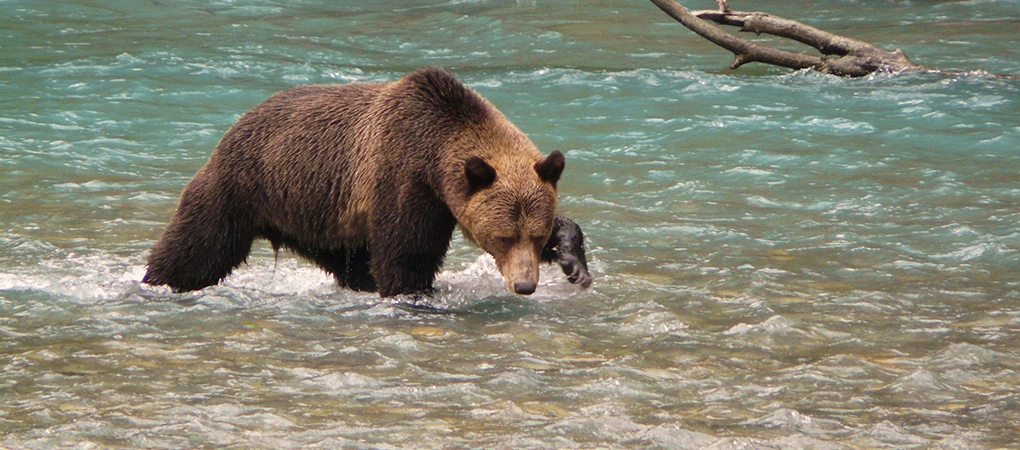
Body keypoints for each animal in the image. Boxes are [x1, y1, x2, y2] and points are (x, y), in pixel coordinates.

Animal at [143, 66, 591, 295]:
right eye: (502, 236)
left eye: (535, 234)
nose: (525, 285)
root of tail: (237, 122)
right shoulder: (403, 178)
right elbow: (405, 253)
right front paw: (416, 293)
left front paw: (574, 263)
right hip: (242, 186)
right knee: (195, 247)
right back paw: (154, 282)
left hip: (322, 221)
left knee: (353, 264)